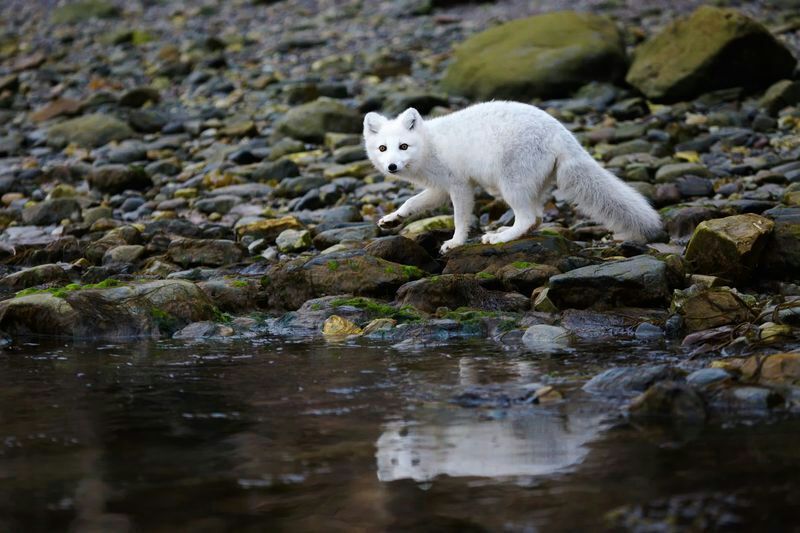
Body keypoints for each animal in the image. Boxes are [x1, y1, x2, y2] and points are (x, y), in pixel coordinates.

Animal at [362, 102, 664, 256]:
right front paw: (392, 219)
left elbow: (460, 218)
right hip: (531, 185)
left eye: (403, 146)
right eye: (382, 148)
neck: (429, 144)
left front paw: (455, 242)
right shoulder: (440, 188)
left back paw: (500, 237)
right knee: (537, 218)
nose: (391, 166)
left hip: (510, 184)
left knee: (528, 217)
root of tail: (562, 133)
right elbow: (411, 203)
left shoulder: (460, 185)